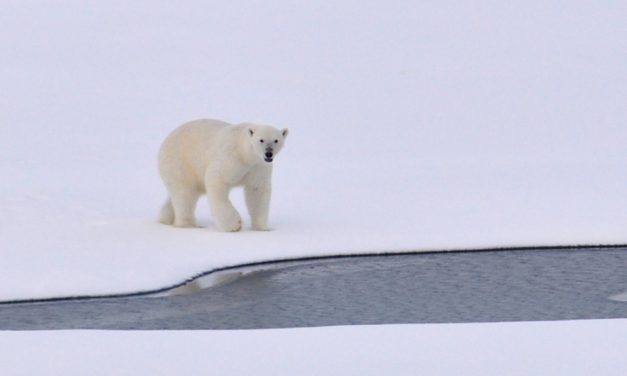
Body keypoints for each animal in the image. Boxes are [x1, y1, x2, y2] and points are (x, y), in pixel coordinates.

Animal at [161, 119, 290, 232]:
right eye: (261, 140)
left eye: (276, 140)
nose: (268, 153)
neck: (244, 153)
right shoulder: (230, 158)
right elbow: (217, 179)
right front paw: (234, 225)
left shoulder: (258, 167)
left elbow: (257, 191)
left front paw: (262, 228)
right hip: (180, 162)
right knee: (184, 193)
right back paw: (189, 225)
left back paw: (165, 218)